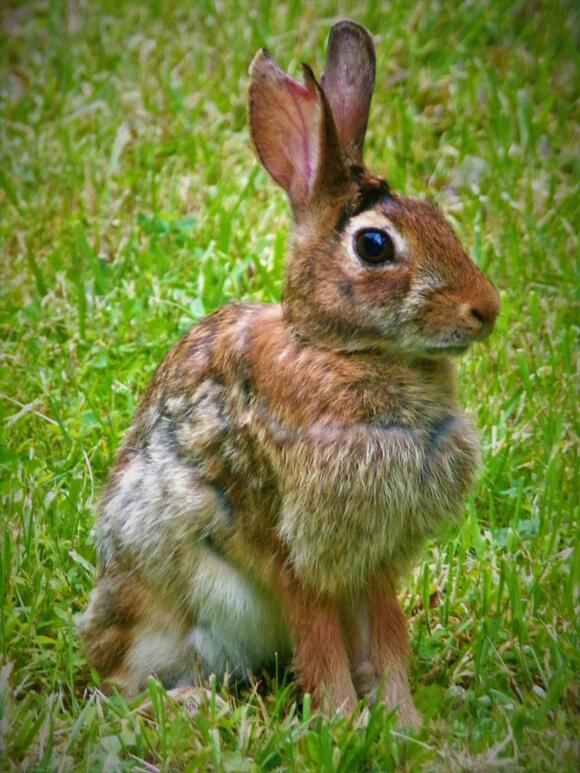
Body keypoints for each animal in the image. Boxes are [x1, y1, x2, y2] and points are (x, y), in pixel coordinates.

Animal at [78, 20, 500, 725]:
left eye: (438, 216)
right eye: (374, 245)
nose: (487, 309)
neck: (341, 351)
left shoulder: (373, 554)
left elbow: (387, 633)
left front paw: (403, 724)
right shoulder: (293, 547)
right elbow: (320, 638)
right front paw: (343, 722)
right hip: (167, 601)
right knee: (122, 684)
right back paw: (190, 701)